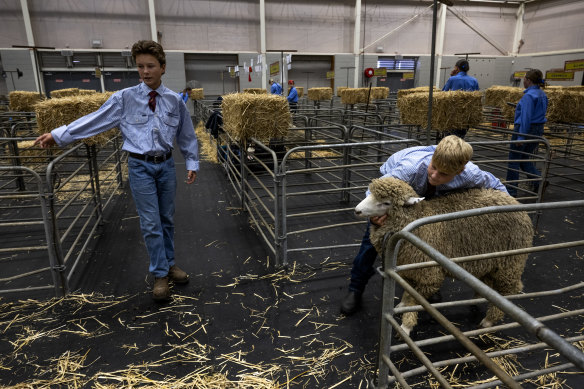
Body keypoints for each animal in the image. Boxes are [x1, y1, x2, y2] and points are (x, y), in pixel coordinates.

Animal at [356, 177, 532, 334]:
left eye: (386, 202)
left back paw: (489, 320)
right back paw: (478, 299)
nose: (357, 210)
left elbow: (415, 300)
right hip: (488, 260)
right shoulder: (408, 269)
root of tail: (516, 203)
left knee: (509, 289)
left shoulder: (429, 276)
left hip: (511, 262)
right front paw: (402, 306)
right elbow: (408, 293)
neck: (417, 219)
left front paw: (405, 327)